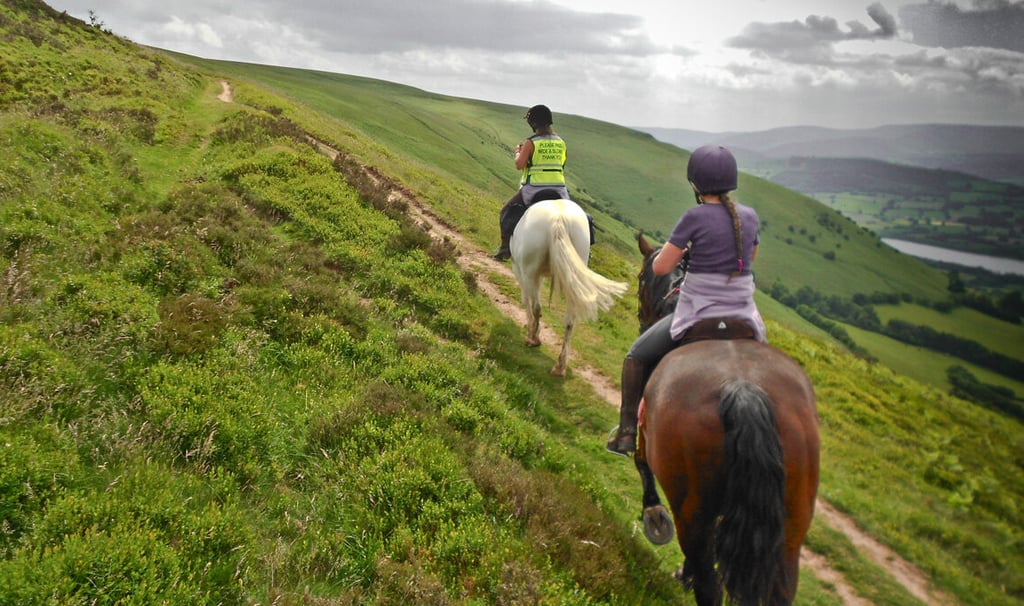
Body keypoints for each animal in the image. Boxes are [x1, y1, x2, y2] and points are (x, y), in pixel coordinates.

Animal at [509, 198, 628, 376]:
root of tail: (559, 218)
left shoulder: (521, 271)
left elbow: (526, 301)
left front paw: (530, 328)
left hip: (530, 273)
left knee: (537, 306)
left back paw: (533, 339)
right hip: (573, 280)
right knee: (570, 321)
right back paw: (560, 365)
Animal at [631, 232, 820, 606]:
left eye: (642, 278)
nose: (642, 316)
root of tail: (743, 390)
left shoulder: (646, 433)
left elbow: (641, 463)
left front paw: (653, 515)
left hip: (691, 510)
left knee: (709, 582)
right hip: (791, 527)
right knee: (780, 587)